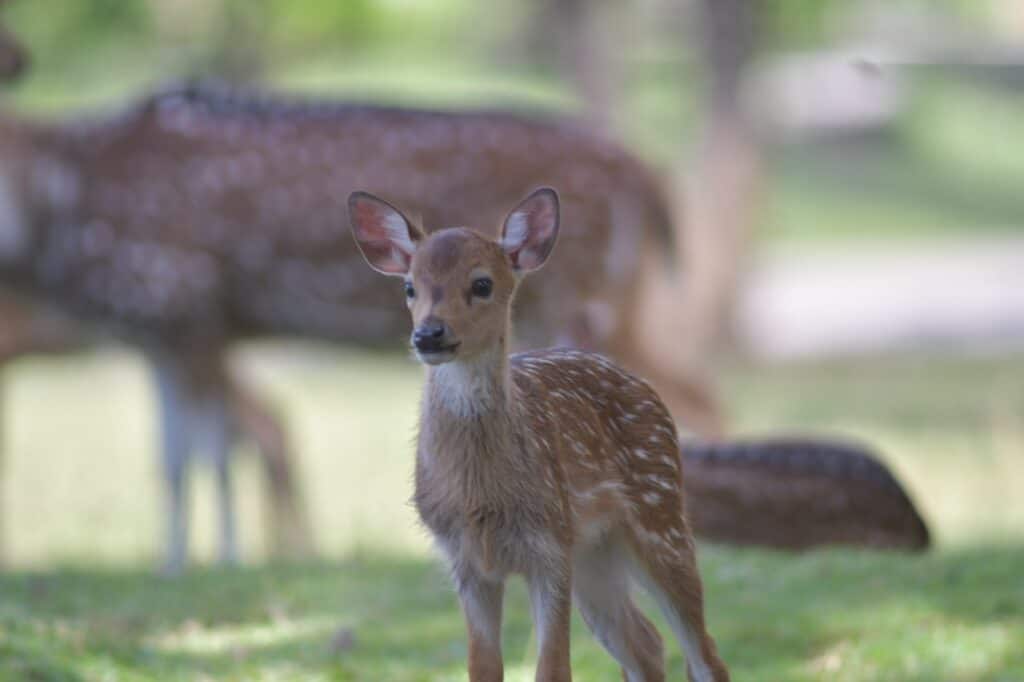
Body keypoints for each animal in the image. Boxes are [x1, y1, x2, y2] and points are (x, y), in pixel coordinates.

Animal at [350, 187, 729, 679]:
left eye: (482, 284)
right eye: (410, 287)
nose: (429, 334)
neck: (482, 497)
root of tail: (642, 384)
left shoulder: (549, 544)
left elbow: (553, 667)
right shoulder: (465, 560)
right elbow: (483, 667)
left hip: (660, 517)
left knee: (703, 652)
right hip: (595, 553)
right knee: (646, 641)